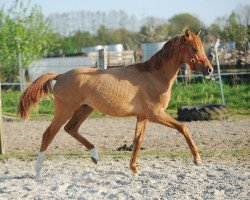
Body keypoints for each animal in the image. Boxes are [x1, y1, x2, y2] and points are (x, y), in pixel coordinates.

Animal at [17, 28, 213, 177]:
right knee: (49, 134)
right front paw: (197, 159)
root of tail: (60, 76)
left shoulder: (142, 117)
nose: (209, 70)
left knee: (71, 129)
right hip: (65, 111)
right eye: (195, 49)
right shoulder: (155, 115)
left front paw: (134, 169)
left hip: (84, 109)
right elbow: (183, 127)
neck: (154, 76)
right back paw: (38, 171)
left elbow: (137, 141)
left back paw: (95, 155)